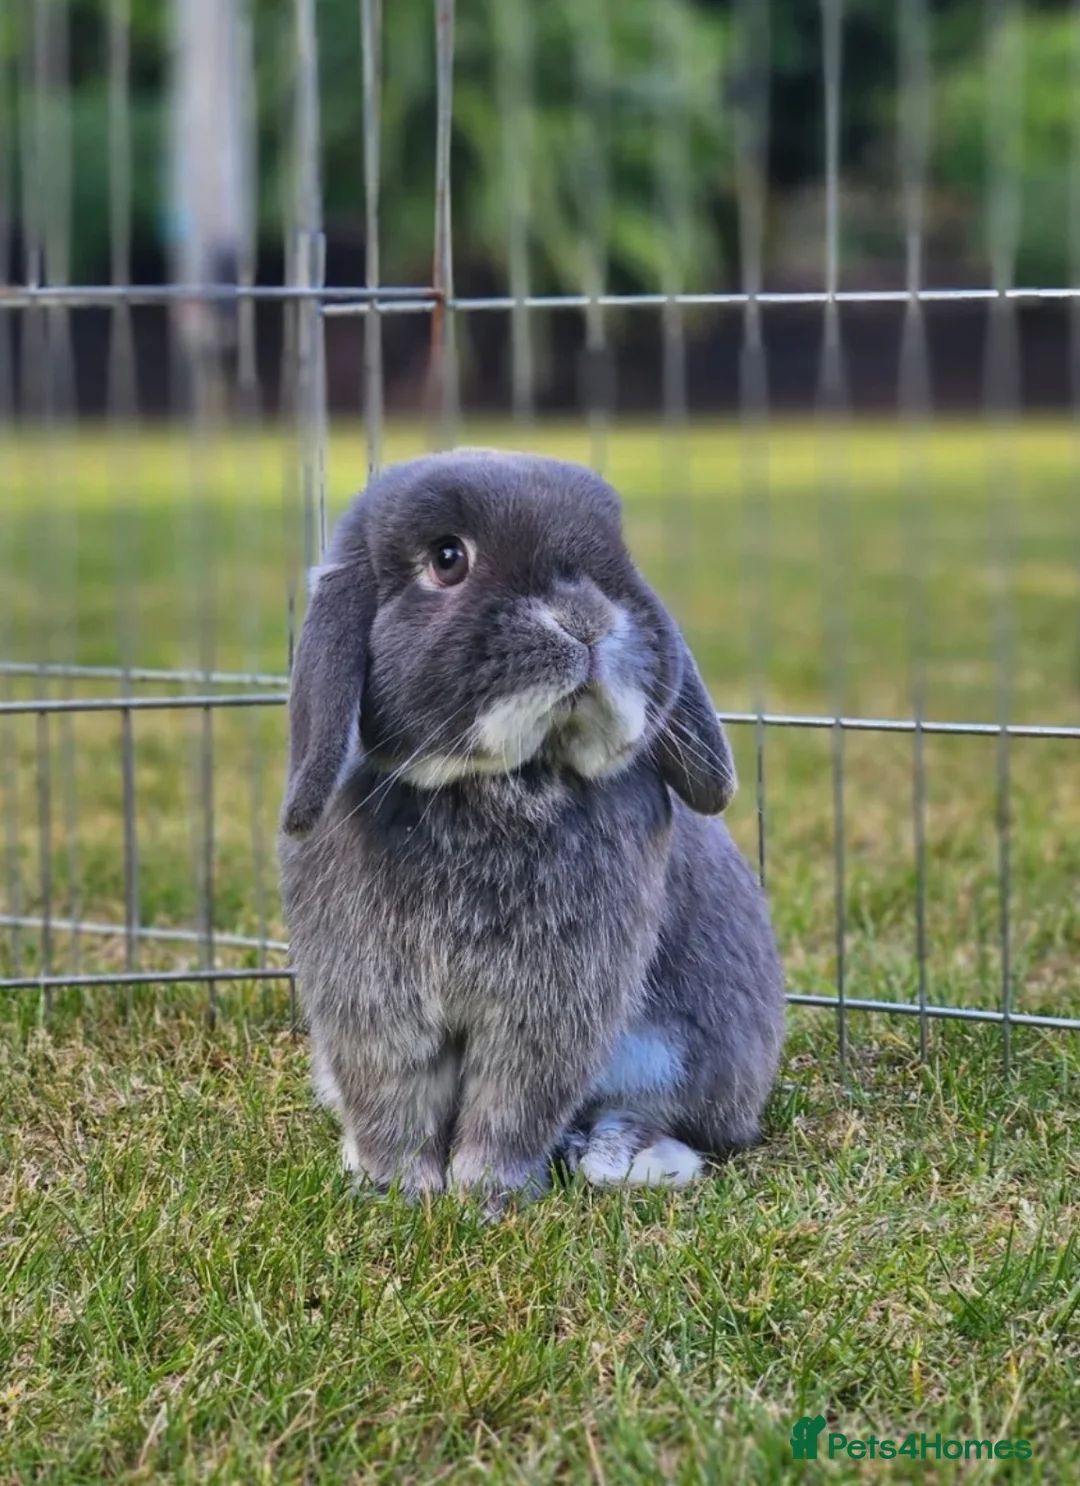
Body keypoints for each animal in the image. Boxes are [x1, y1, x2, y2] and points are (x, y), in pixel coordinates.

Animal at [278, 448, 785, 1211]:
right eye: (448, 558)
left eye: (618, 554)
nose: (585, 619)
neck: (494, 784)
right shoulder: (372, 997)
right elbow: (393, 1096)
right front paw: (398, 1188)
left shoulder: (552, 1004)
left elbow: (514, 1100)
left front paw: (485, 1194)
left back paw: (615, 1158)